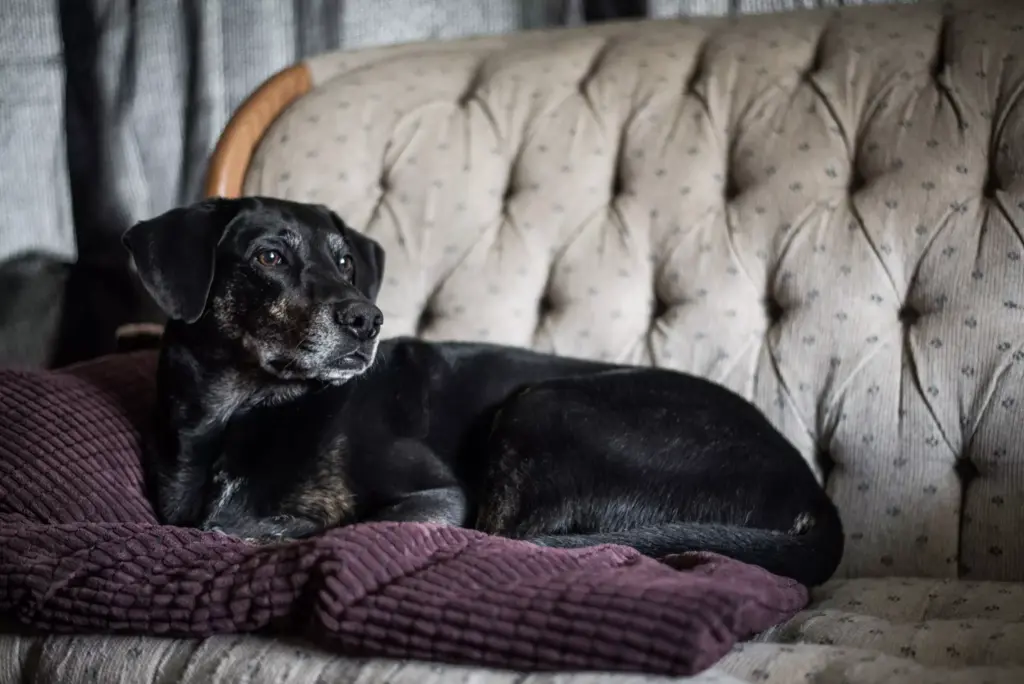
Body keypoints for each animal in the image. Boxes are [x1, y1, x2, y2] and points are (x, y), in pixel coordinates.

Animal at [121, 194, 839, 585]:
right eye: (270, 257)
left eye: (346, 262)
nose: (368, 319)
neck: (242, 415)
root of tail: (812, 494)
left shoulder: (442, 496)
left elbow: (343, 526)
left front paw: (266, 529)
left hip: (545, 404)